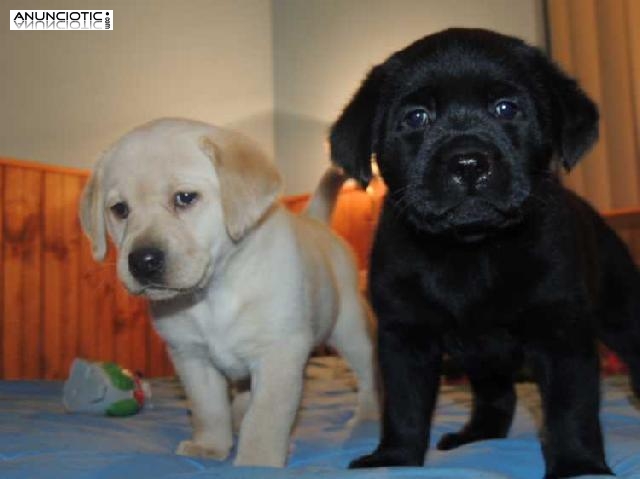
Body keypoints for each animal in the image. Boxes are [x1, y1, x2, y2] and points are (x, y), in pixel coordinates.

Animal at [330, 28, 640, 478]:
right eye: (417, 117)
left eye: (506, 108)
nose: (468, 163)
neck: (469, 252)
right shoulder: (404, 337)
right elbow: (403, 408)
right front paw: (395, 458)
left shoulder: (561, 332)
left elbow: (571, 410)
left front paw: (580, 465)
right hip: (478, 357)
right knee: (498, 397)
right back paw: (476, 435)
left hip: (622, 315)